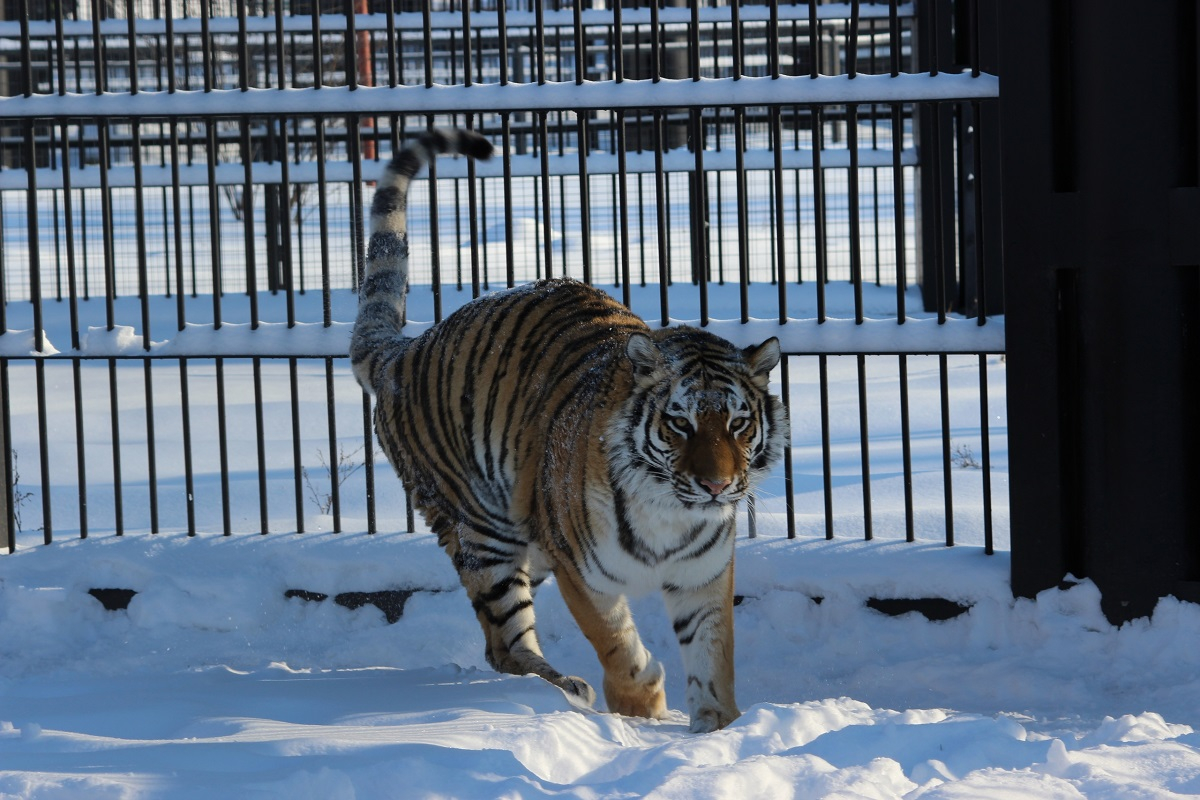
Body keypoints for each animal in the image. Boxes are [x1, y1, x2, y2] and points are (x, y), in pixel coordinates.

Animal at [350, 128, 789, 733]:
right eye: (681, 424)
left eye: (739, 424)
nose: (717, 487)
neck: (670, 515)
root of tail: (404, 350)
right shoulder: (581, 570)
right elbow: (618, 645)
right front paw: (642, 711)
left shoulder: (702, 575)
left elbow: (712, 656)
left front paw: (721, 729)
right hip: (487, 529)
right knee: (506, 636)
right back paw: (562, 689)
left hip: (525, 543)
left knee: (495, 641)